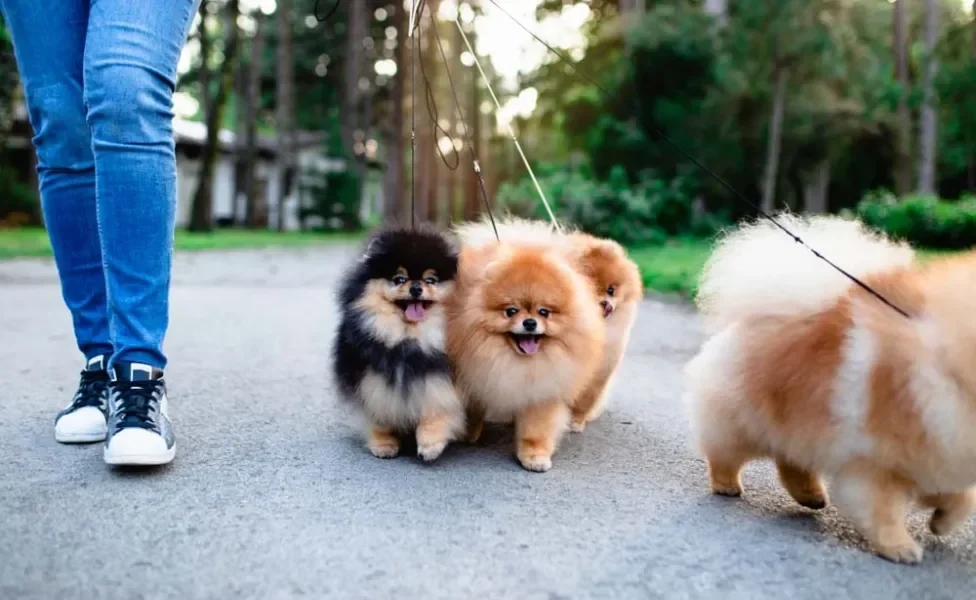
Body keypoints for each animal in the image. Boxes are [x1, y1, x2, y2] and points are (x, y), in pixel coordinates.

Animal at [332, 225, 466, 464]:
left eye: (431, 280)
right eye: (399, 279)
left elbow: (438, 407)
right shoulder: (369, 379)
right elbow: (377, 412)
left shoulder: (439, 378)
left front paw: (430, 445)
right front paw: (383, 444)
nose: (416, 288)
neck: (407, 339)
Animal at [446, 232, 608, 472]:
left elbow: (536, 428)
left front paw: (534, 456)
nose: (530, 322)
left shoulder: (542, 388)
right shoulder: (475, 373)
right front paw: (469, 432)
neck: (519, 363)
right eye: (511, 311)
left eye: (544, 312)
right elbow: (473, 407)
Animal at [684, 213, 976, 564]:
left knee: (790, 462)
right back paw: (727, 484)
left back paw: (811, 496)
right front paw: (900, 547)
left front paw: (942, 523)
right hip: (743, 423)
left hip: (797, 428)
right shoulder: (874, 463)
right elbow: (883, 510)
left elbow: (963, 498)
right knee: (724, 452)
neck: (947, 363)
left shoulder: (937, 459)